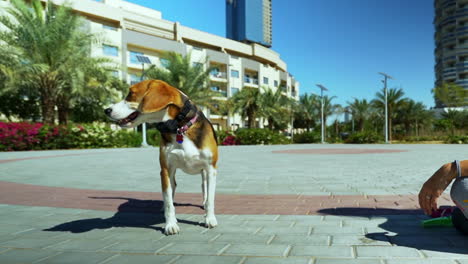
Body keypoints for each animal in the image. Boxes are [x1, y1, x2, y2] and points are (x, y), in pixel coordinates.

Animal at [105, 79, 218, 234]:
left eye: (131, 93)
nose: (106, 110)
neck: (179, 127)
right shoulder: (166, 169)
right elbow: (169, 202)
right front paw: (170, 224)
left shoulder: (211, 168)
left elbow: (211, 198)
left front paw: (210, 219)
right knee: (172, 188)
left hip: (205, 172)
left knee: (204, 187)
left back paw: (204, 204)